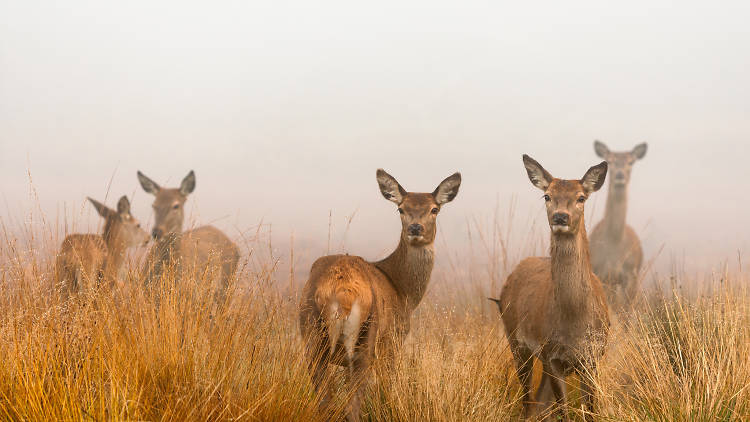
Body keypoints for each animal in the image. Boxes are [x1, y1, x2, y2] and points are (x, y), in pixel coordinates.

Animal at [298, 169, 462, 422]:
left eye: (434, 209)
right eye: (401, 209)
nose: (415, 228)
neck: (404, 293)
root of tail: (342, 292)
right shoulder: (394, 340)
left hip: (311, 331)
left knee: (325, 404)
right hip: (367, 338)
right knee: (351, 408)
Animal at [494, 156, 612, 422]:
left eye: (581, 197)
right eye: (547, 195)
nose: (560, 217)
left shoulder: (594, 356)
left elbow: (590, 412)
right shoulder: (551, 355)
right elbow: (563, 412)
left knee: (539, 400)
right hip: (516, 341)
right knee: (528, 401)